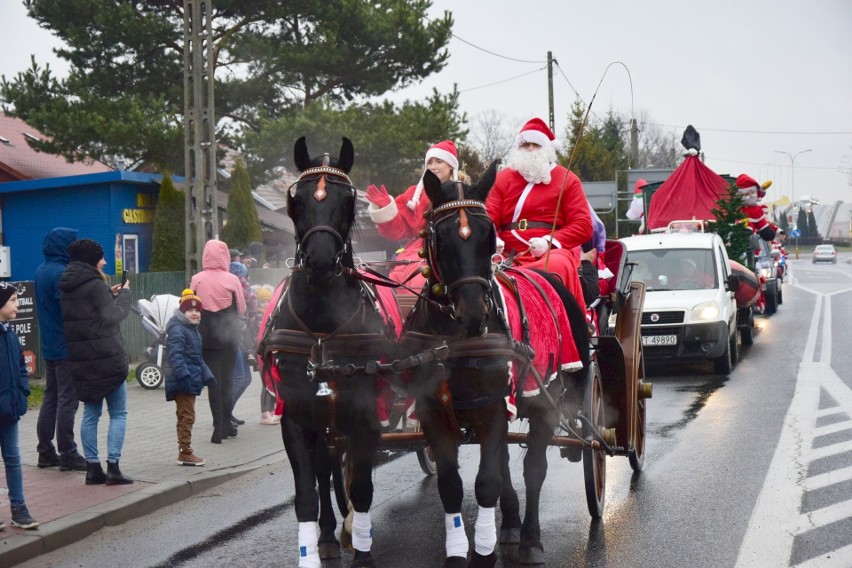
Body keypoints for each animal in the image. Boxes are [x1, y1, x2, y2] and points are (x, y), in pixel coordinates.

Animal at [260, 138, 392, 568]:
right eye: (297, 198)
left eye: (347, 199)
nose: (318, 261)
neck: (321, 327)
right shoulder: (296, 416)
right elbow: (305, 495)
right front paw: (317, 545)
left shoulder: (366, 413)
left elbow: (363, 488)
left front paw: (362, 549)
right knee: (324, 469)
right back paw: (330, 532)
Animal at [406, 163, 592, 564]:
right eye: (440, 237)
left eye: (488, 234)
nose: (474, 313)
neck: (453, 340)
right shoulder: (433, 410)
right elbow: (452, 485)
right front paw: (459, 551)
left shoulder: (491, 406)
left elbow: (488, 482)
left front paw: (485, 551)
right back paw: (509, 525)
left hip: (546, 397)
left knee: (534, 468)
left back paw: (530, 539)